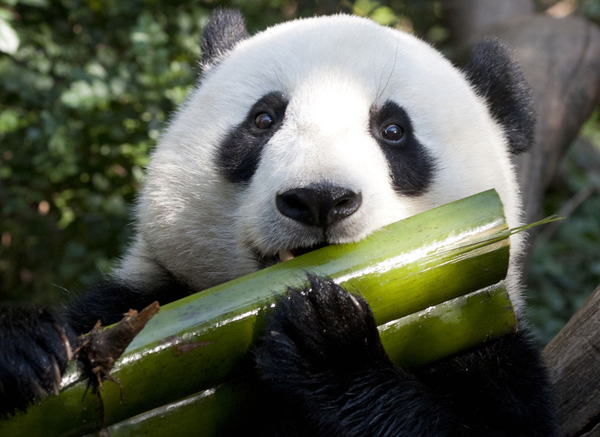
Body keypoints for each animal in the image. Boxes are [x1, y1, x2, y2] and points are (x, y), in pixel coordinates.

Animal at [0, 8, 556, 434]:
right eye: (264, 120)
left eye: (394, 130)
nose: (320, 199)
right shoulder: (141, 301)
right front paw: (25, 348)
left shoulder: (480, 336)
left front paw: (328, 343)